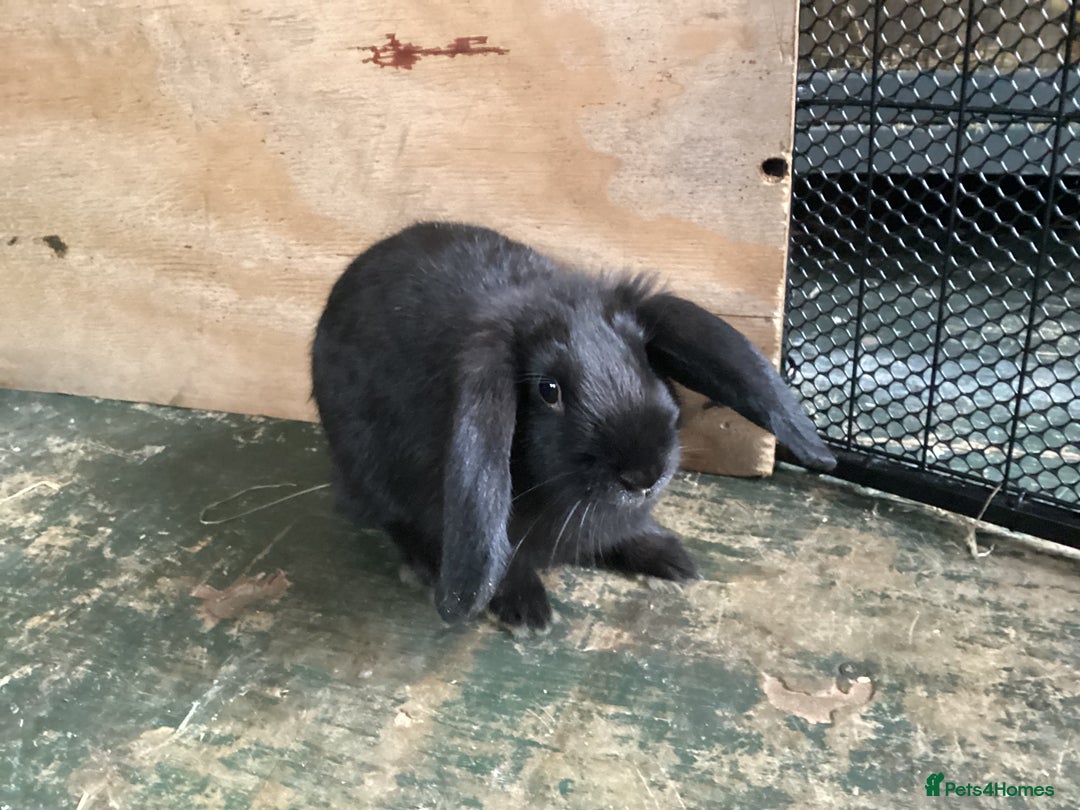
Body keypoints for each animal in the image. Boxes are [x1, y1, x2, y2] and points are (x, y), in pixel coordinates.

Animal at [311, 222, 835, 630]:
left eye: (644, 360)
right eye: (548, 391)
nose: (644, 475)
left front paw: (671, 557)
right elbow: (500, 556)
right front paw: (527, 610)